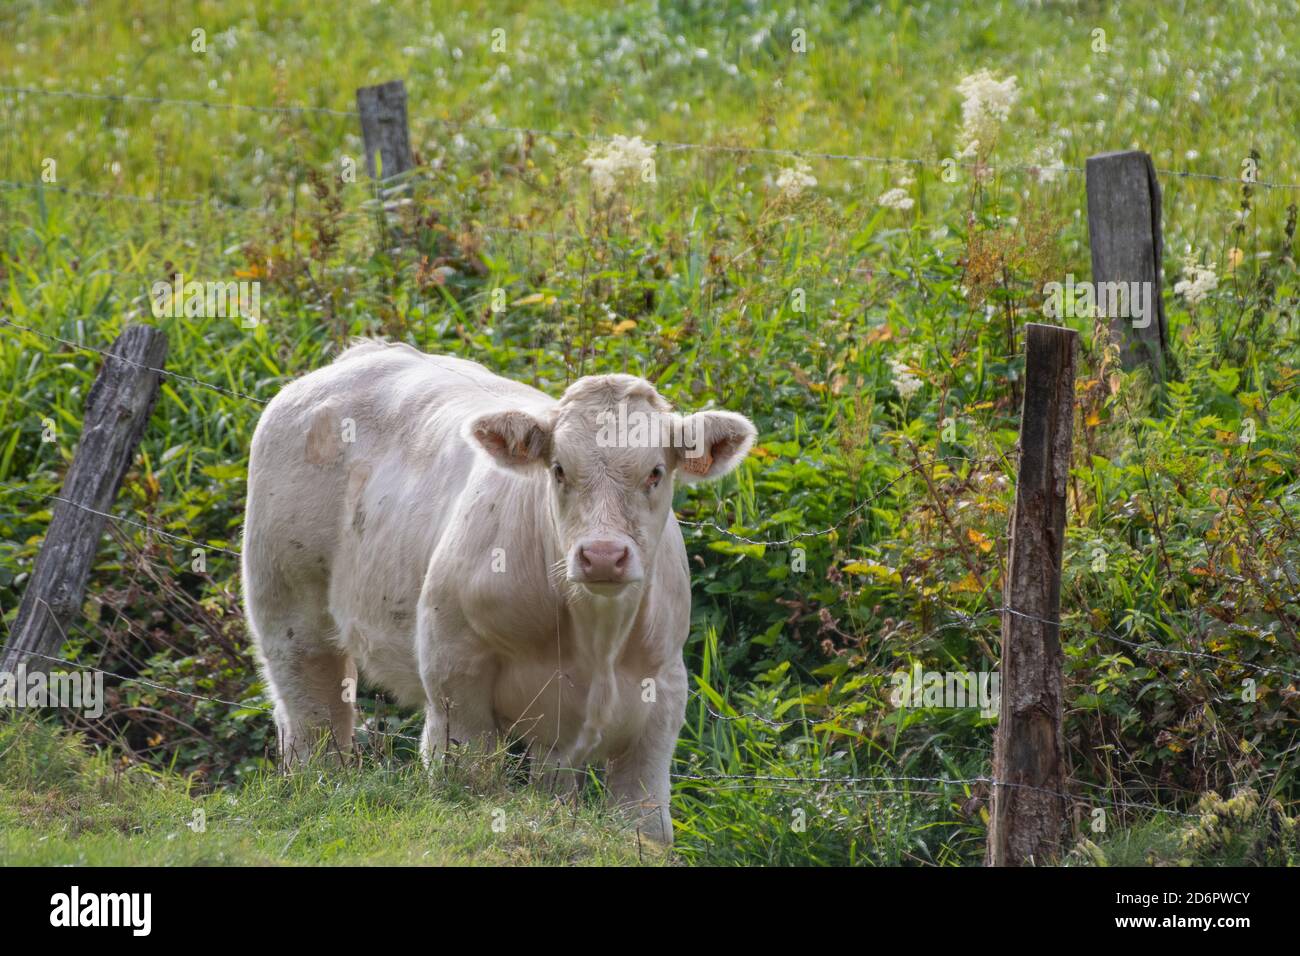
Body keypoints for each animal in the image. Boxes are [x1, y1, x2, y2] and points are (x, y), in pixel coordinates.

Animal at [241, 343, 759, 842]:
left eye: (655, 472)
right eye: (558, 470)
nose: (603, 555)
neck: (596, 639)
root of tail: (361, 355)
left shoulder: (661, 699)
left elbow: (645, 826)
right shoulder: (454, 680)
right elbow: (471, 785)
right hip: (289, 613)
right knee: (314, 723)